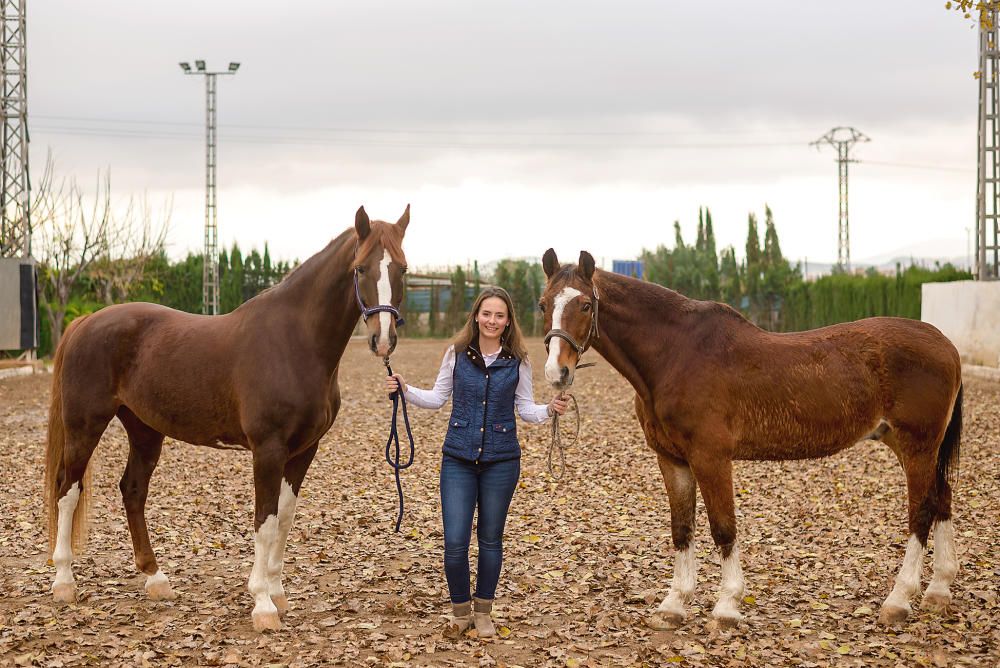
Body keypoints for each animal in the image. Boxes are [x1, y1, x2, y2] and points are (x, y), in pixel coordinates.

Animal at [43, 205, 410, 632]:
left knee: (132, 491)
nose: (382, 340)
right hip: (85, 425)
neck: (294, 341)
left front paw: (278, 593)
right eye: (361, 268)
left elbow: (285, 518)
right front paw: (263, 605)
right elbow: (265, 520)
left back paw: (156, 579)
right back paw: (64, 582)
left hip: (145, 430)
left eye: (402, 267)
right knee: (67, 491)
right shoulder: (268, 450)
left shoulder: (304, 450)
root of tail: (84, 322)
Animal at [544, 249, 964, 628]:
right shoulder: (672, 458)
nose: (556, 373)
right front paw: (674, 605)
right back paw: (938, 592)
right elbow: (682, 528)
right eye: (543, 303)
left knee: (921, 512)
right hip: (910, 445)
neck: (676, 354)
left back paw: (899, 601)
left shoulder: (711, 457)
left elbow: (722, 526)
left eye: (585, 305)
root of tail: (945, 343)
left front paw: (727, 607)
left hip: (918, 446)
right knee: (942, 499)